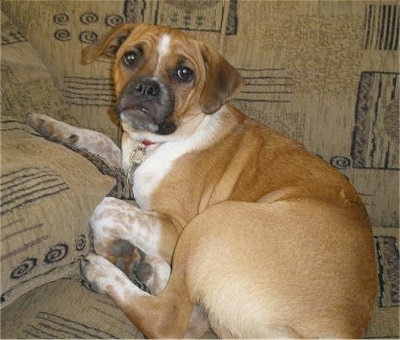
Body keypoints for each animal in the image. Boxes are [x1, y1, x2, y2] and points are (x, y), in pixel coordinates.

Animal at [28, 23, 378, 338]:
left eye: (185, 73)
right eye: (131, 57)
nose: (146, 88)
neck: (160, 143)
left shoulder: (176, 225)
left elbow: (107, 207)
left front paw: (112, 248)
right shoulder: (130, 161)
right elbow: (102, 139)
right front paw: (51, 126)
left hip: (211, 223)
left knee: (168, 320)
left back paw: (106, 271)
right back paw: (147, 267)